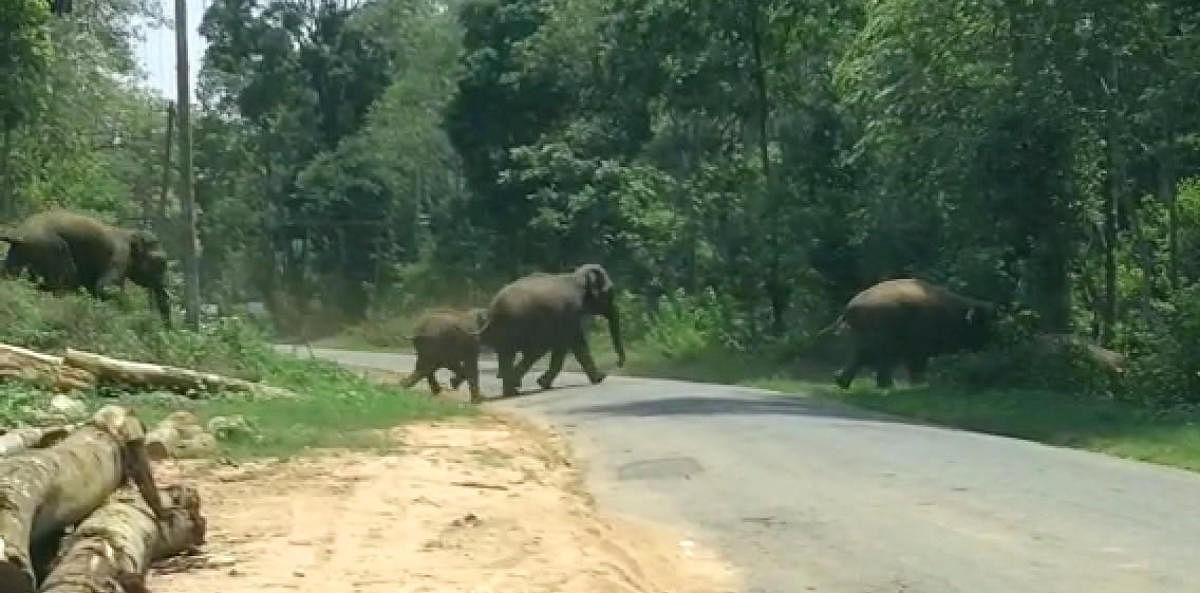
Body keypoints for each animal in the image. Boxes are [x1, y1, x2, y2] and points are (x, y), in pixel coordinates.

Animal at [0, 211, 174, 326]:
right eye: (161, 263)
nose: (165, 327)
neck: (129, 232)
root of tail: (18, 233)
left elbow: (95, 289)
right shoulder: (119, 257)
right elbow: (105, 288)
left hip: (21, 251)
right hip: (50, 247)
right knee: (66, 279)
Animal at [477, 265, 628, 398]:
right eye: (610, 292)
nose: (618, 363)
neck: (576, 277)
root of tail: (492, 310)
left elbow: (564, 347)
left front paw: (543, 384)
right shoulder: (570, 313)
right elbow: (575, 344)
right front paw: (600, 378)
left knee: (510, 355)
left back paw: (511, 391)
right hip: (516, 326)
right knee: (530, 352)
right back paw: (514, 387)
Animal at [830, 278, 998, 388]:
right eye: (985, 325)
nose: (991, 345)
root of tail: (849, 308)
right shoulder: (920, 340)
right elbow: (916, 362)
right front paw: (920, 384)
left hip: (862, 336)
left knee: (860, 356)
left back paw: (843, 381)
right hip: (880, 334)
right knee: (877, 358)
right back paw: (888, 385)